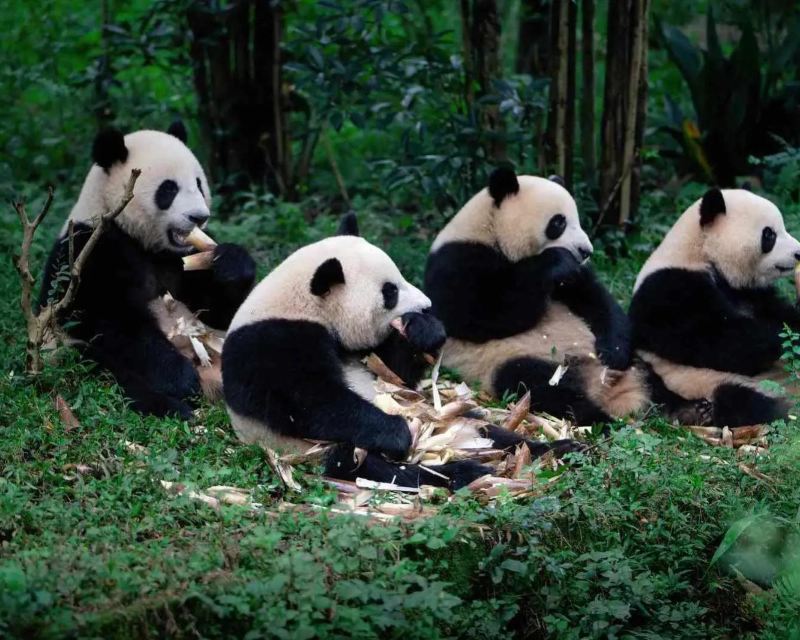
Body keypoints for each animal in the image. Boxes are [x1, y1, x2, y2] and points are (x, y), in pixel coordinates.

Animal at [39, 122, 256, 419]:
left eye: (199, 184)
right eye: (168, 190)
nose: (199, 217)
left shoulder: (180, 261)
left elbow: (218, 310)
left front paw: (231, 263)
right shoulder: (88, 251)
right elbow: (111, 320)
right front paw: (180, 379)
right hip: (63, 349)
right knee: (98, 369)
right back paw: (173, 406)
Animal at [222, 214, 579, 489]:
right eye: (390, 292)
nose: (426, 305)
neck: (303, 305)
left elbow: (395, 375)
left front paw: (425, 330)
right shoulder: (271, 341)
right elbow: (310, 401)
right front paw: (396, 433)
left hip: (447, 416)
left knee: (490, 430)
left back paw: (557, 448)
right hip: (317, 450)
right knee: (374, 468)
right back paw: (464, 471)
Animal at [423, 167, 654, 425]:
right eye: (558, 222)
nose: (586, 251)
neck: (490, 230)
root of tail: (602, 384)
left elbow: (595, 299)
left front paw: (613, 353)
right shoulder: (456, 260)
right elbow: (477, 316)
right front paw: (556, 261)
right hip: (510, 360)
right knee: (536, 384)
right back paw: (600, 418)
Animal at [628, 188, 800, 427]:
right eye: (769, 235)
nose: (798, 253)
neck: (701, 251)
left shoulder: (749, 291)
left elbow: (778, 311)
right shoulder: (667, 288)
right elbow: (712, 340)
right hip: (698, 381)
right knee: (738, 400)